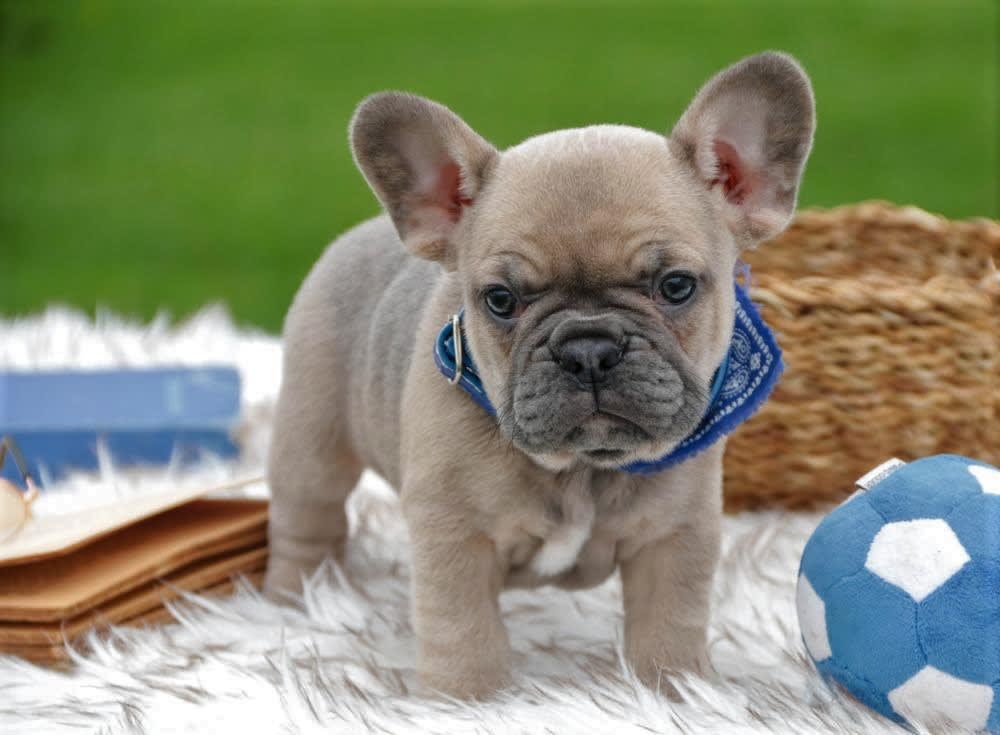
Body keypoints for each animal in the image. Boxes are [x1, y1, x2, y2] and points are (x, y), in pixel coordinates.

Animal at [266, 50, 812, 696]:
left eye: (676, 286)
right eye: (501, 300)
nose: (588, 348)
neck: (582, 468)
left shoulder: (676, 536)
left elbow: (669, 623)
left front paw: (676, 690)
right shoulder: (454, 536)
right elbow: (464, 628)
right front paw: (466, 698)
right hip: (313, 438)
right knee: (308, 517)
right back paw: (299, 597)